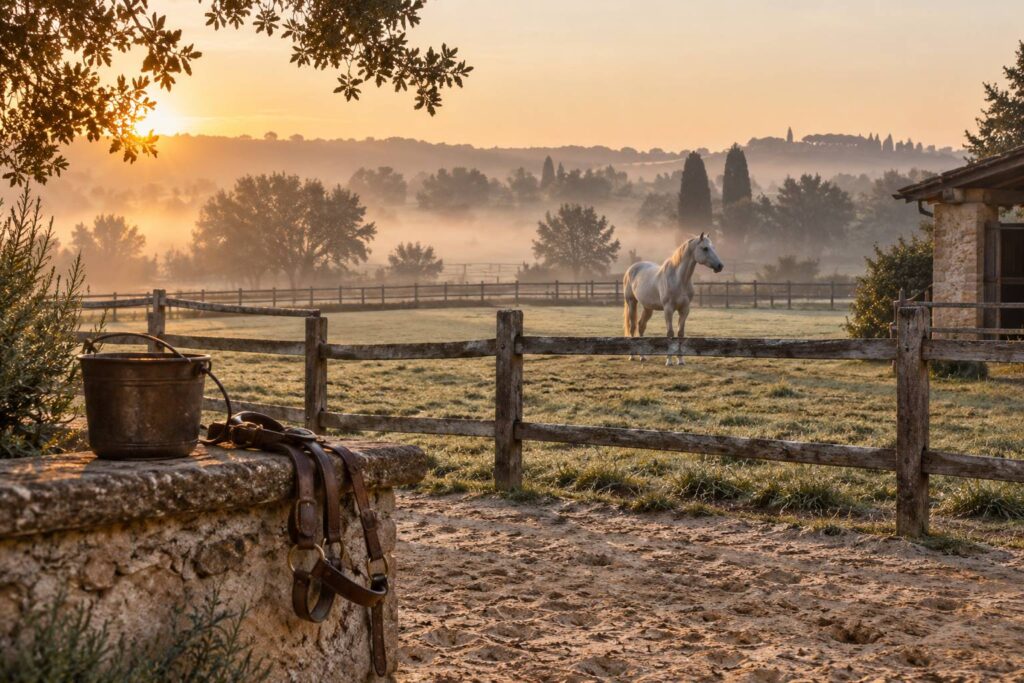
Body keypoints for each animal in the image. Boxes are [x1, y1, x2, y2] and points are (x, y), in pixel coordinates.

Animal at [622, 233, 724, 365]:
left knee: (641, 326)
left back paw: (643, 356)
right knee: (633, 326)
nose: (720, 266)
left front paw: (681, 360)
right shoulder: (668, 309)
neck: (678, 279)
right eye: (705, 248)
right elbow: (670, 333)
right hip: (631, 302)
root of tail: (631, 269)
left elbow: (680, 333)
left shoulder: (685, 309)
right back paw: (632, 356)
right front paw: (669, 361)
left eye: (714, 248)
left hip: (648, 307)